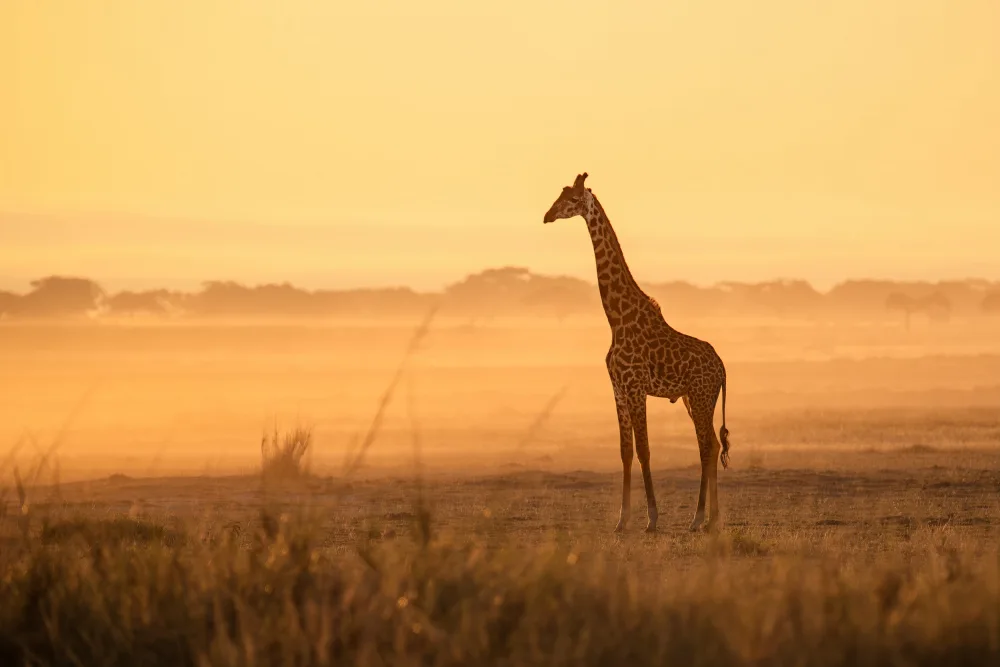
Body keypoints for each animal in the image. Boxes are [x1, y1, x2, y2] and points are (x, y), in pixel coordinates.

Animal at [543, 172, 731, 533]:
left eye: (571, 199)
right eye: (558, 195)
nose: (547, 216)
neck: (617, 318)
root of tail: (723, 368)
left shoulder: (635, 386)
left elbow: (644, 450)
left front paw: (652, 519)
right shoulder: (617, 388)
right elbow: (625, 451)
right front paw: (622, 520)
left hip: (700, 396)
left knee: (706, 446)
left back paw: (698, 518)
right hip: (694, 398)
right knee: (713, 445)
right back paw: (711, 519)